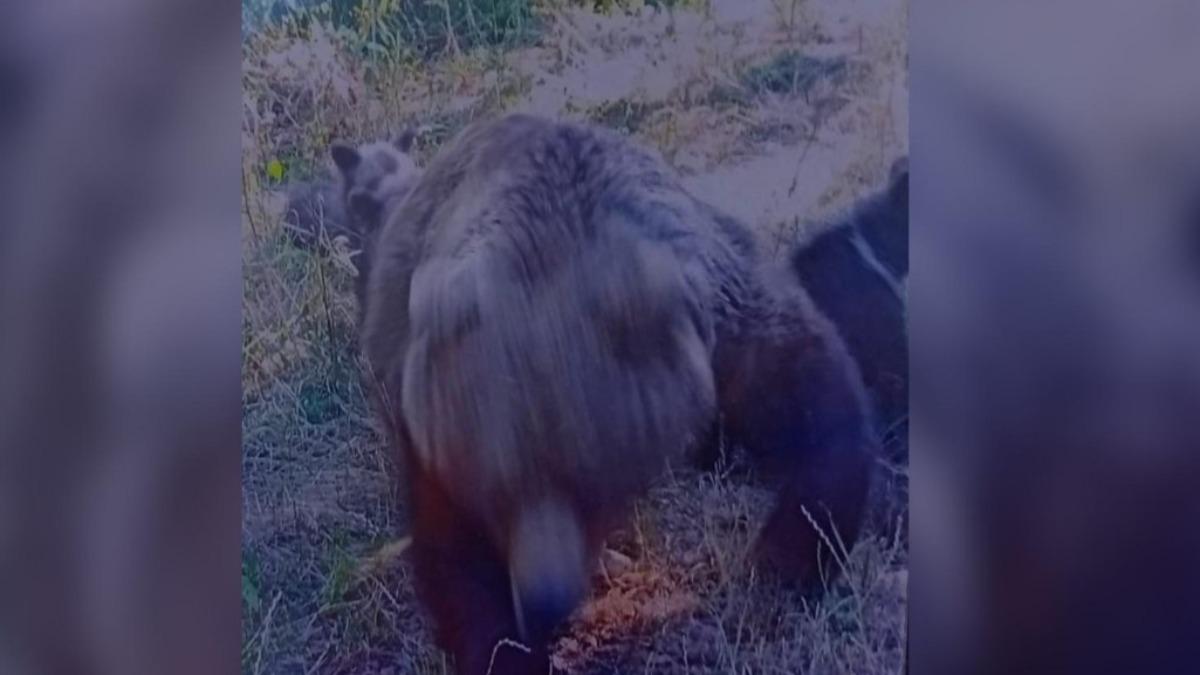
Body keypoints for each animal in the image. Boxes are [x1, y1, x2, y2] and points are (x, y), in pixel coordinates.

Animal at [358, 114, 876, 675]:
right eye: (493, 496)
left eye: (593, 487)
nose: (544, 603)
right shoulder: (424, 415)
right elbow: (454, 554)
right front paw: (504, 648)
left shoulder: (719, 307)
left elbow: (808, 387)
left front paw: (788, 553)